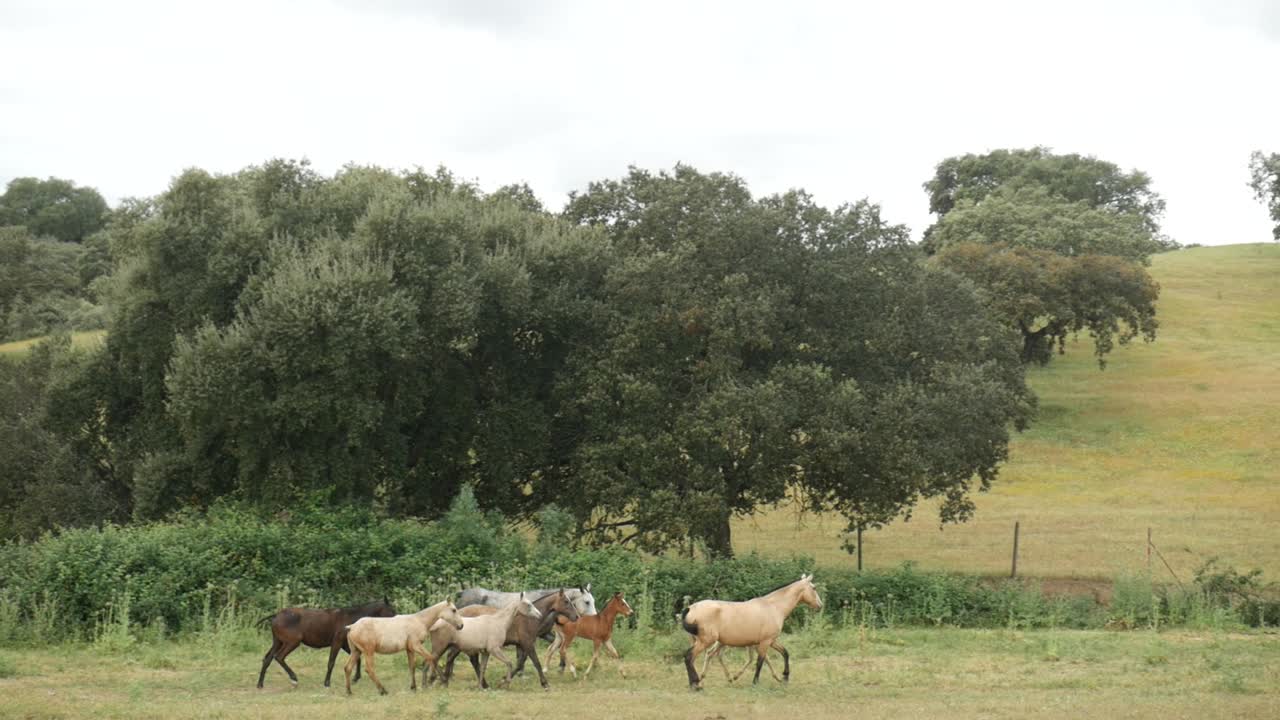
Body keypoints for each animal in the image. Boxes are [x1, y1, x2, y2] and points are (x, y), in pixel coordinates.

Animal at [256, 598, 395, 688]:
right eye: (392, 611)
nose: (397, 617)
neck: (352, 617)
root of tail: (276, 615)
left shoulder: (345, 644)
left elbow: (357, 658)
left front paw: (356, 677)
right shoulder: (337, 642)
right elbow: (331, 662)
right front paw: (327, 683)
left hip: (278, 642)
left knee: (267, 658)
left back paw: (260, 684)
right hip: (292, 642)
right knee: (279, 657)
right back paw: (294, 678)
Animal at [681, 574, 822, 690]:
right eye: (814, 588)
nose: (820, 605)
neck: (774, 607)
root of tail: (690, 608)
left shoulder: (771, 641)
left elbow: (785, 653)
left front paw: (785, 677)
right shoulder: (765, 642)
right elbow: (760, 661)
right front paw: (755, 682)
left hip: (704, 641)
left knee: (698, 657)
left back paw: (700, 682)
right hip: (706, 641)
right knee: (689, 657)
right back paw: (695, 684)